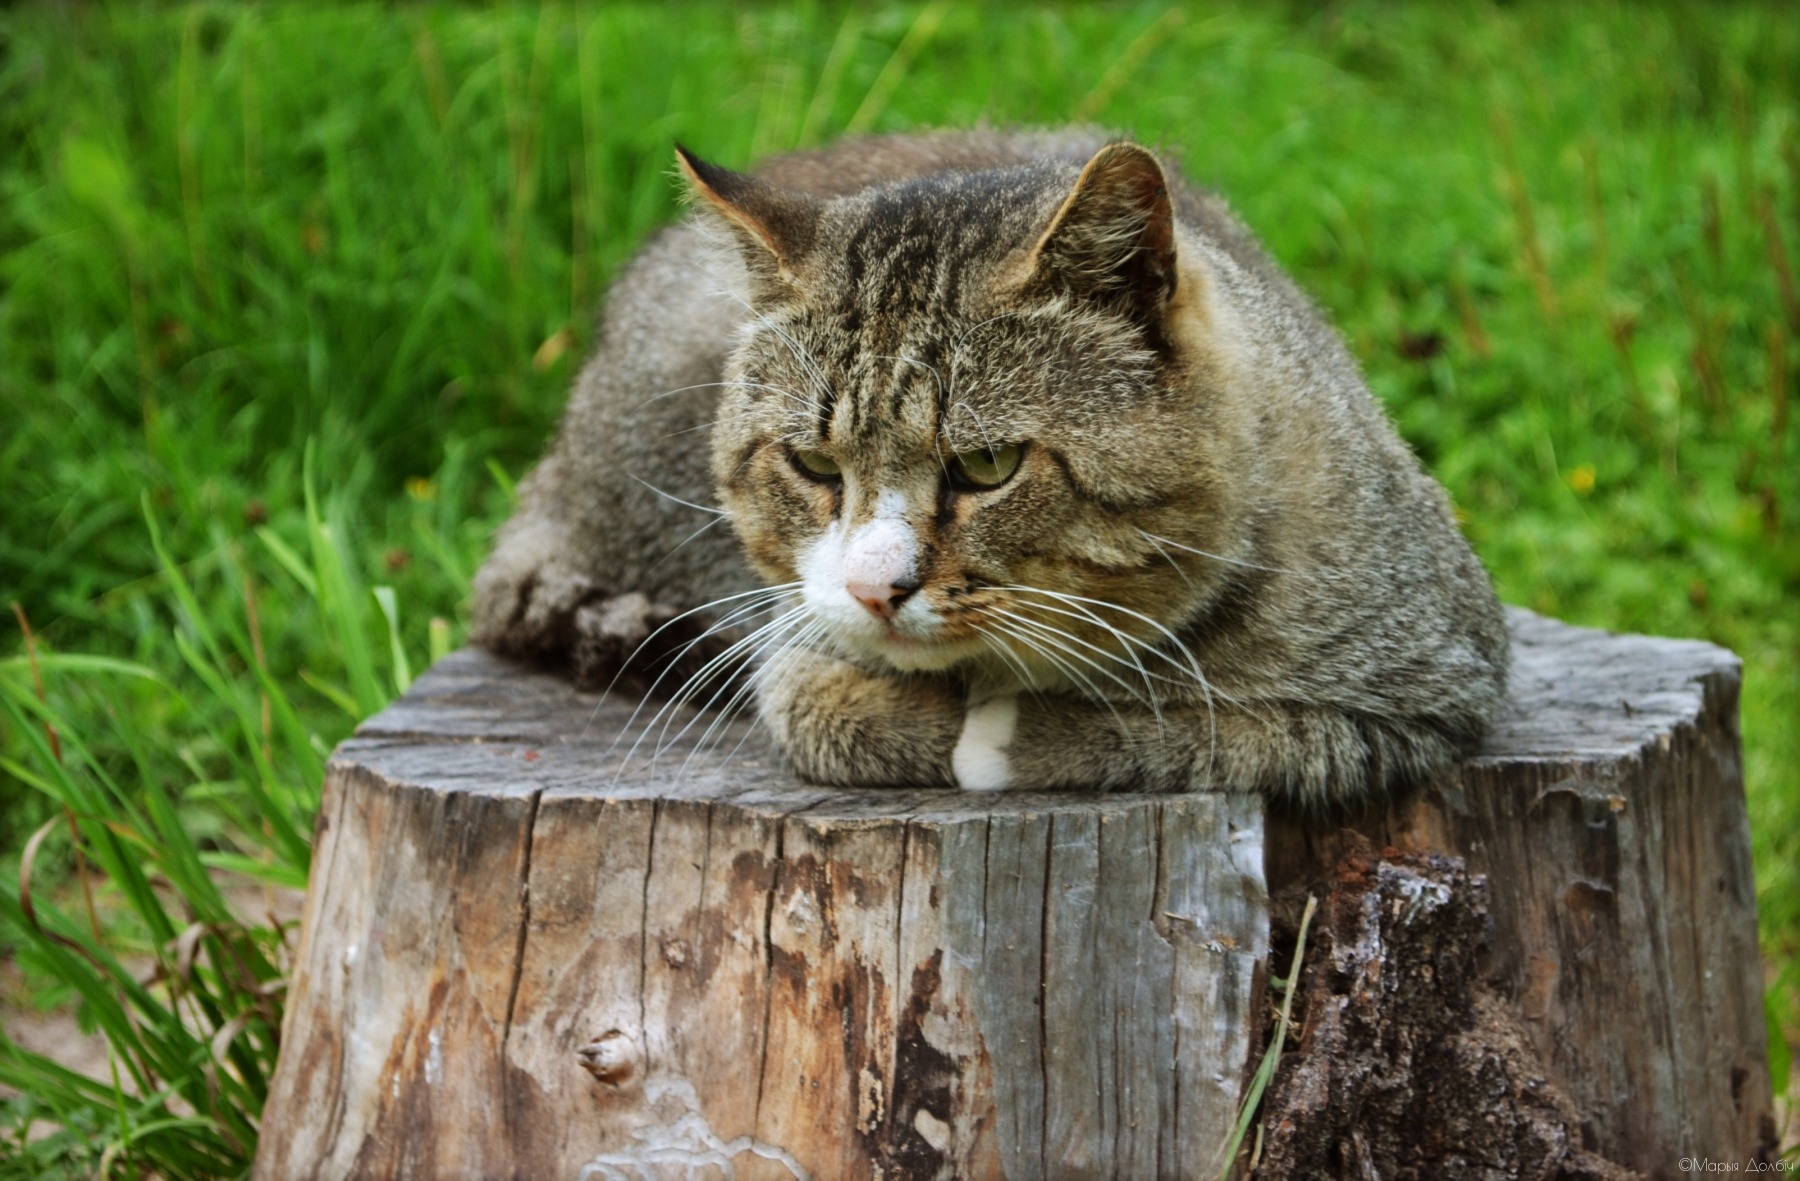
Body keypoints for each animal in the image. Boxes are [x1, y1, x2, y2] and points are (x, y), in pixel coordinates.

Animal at [464, 126, 1504, 802]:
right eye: (812, 464)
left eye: (989, 465)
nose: (874, 589)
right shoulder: (791, 625)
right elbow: (800, 694)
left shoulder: (1430, 697)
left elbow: (1225, 727)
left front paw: (1013, 731)